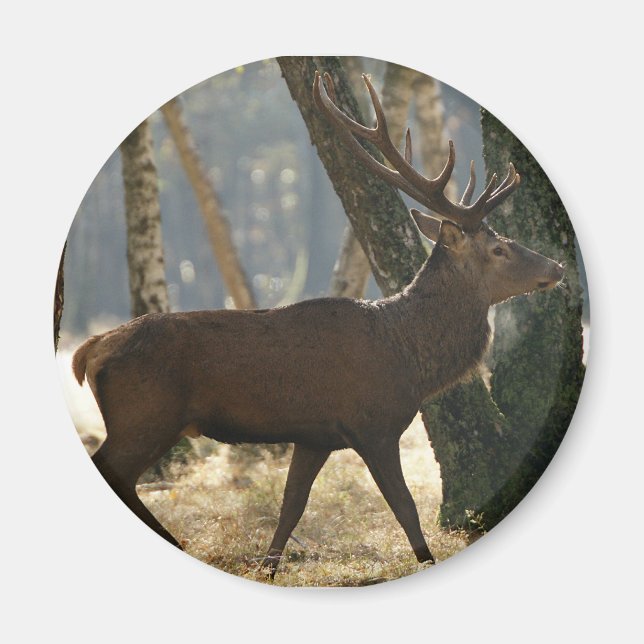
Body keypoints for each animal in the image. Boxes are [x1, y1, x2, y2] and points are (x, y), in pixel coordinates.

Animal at [72, 71, 564, 578]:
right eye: (499, 249)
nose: (558, 266)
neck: (409, 359)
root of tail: (89, 350)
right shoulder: (373, 426)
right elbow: (405, 508)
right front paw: (425, 560)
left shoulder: (313, 436)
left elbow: (291, 506)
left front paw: (268, 569)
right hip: (145, 416)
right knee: (114, 471)